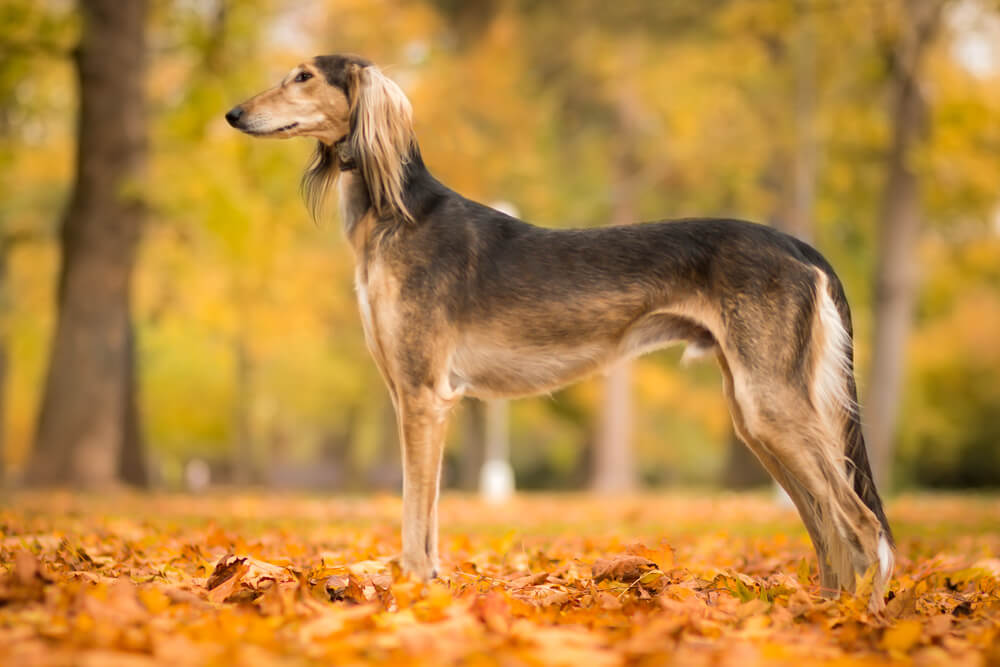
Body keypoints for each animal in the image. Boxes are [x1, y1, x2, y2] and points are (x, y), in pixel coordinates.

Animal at [229, 54, 900, 612]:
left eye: (303, 76)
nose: (234, 113)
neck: (398, 214)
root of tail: (798, 246)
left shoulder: (423, 394)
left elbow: (415, 516)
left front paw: (414, 595)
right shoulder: (411, 393)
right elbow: (428, 514)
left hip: (772, 406)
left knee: (863, 525)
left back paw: (863, 620)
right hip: (756, 414)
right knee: (829, 528)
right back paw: (823, 612)